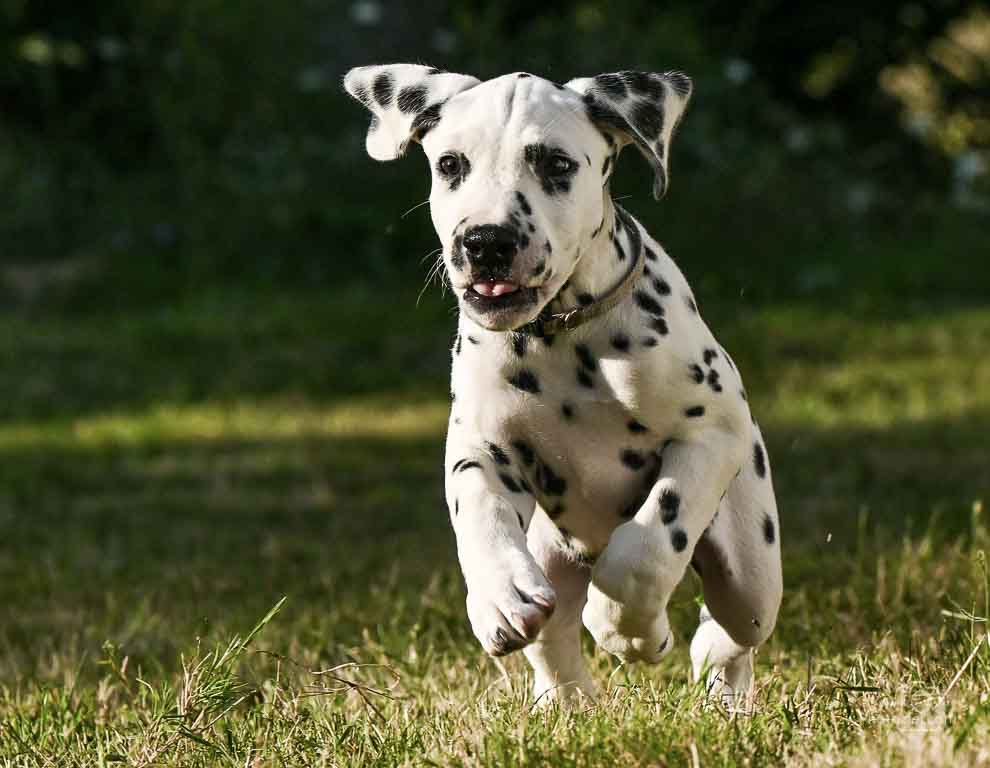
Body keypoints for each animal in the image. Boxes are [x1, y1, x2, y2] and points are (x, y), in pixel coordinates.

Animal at [344, 66, 788, 708]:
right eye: (451, 164)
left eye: (556, 164)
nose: (486, 241)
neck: (562, 336)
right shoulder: (481, 447)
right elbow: (478, 508)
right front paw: (499, 596)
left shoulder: (709, 436)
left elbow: (646, 547)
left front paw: (630, 630)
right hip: (553, 556)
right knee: (554, 642)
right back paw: (567, 703)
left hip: (750, 564)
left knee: (732, 628)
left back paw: (719, 691)